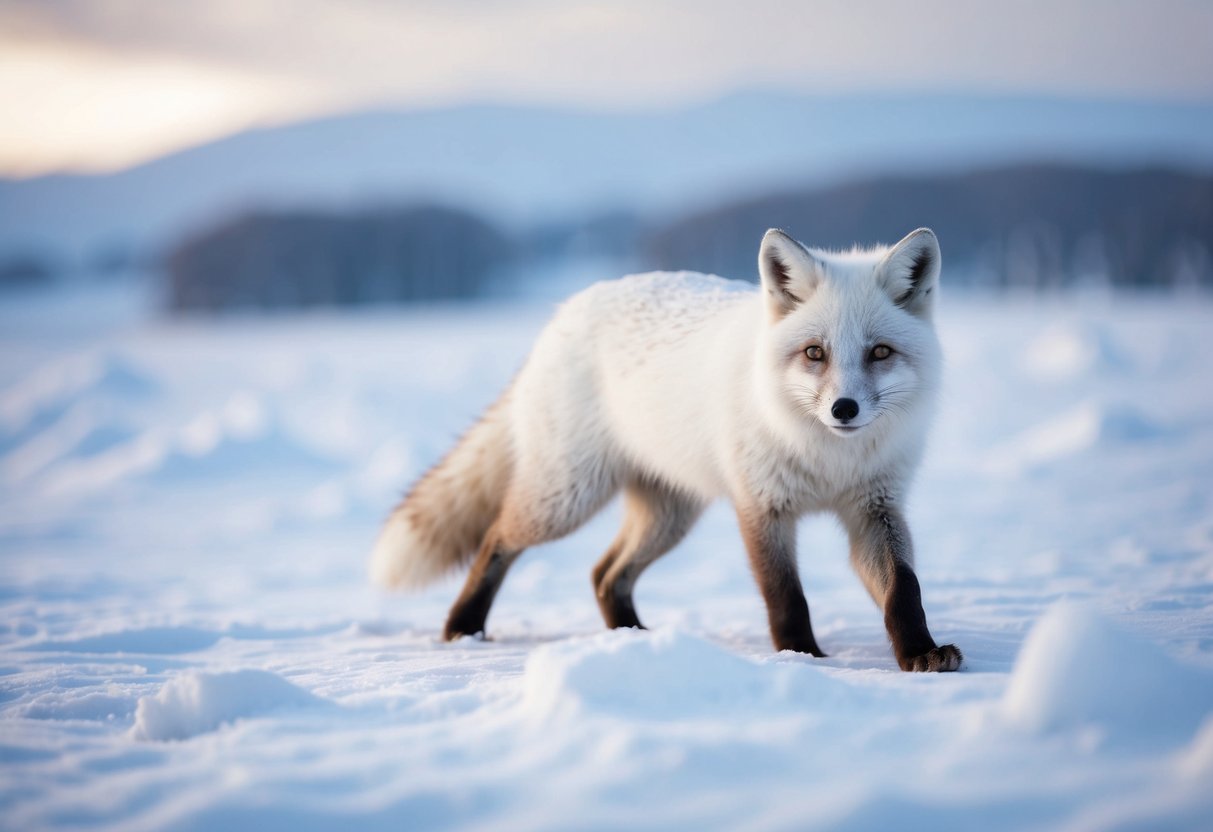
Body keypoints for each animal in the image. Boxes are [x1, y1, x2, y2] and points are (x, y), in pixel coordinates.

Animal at [371, 227, 962, 672]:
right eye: (815, 353)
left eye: (879, 352)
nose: (844, 409)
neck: (828, 459)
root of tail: (566, 311)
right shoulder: (761, 508)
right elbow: (786, 597)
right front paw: (802, 657)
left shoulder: (875, 509)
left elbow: (904, 592)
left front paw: (921, 653)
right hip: (566, 500)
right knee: (496, 538)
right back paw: (463, 628)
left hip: (669, 516)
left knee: (605, 573)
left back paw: (632, 639)